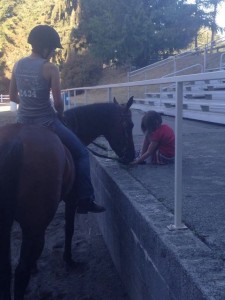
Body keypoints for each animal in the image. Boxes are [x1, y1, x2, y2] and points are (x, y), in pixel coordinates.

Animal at [0, 97, 134, 298]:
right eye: (131, 125)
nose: (132, 156)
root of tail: (15, 142)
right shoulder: (71, 201)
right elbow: (69, 229)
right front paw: (69, 260)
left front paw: (36, 267)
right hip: (35, 225)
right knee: (21, 272)